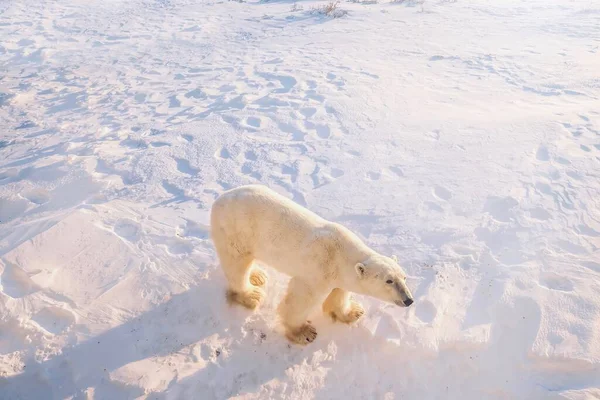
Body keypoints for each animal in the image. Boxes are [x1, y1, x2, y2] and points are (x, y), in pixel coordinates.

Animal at [210, 184, 412, 344]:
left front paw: (353, 312)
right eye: (389, 281)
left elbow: (340, 293)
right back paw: (251, 294)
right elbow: (299, 300)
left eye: (404, 277)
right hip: (236, 231)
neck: (340, 254)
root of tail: (218, 199)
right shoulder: (318, 271)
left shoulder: (340, 275)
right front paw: (304, 332)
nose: (408, 300)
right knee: (236, 264)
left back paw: (258, 275)